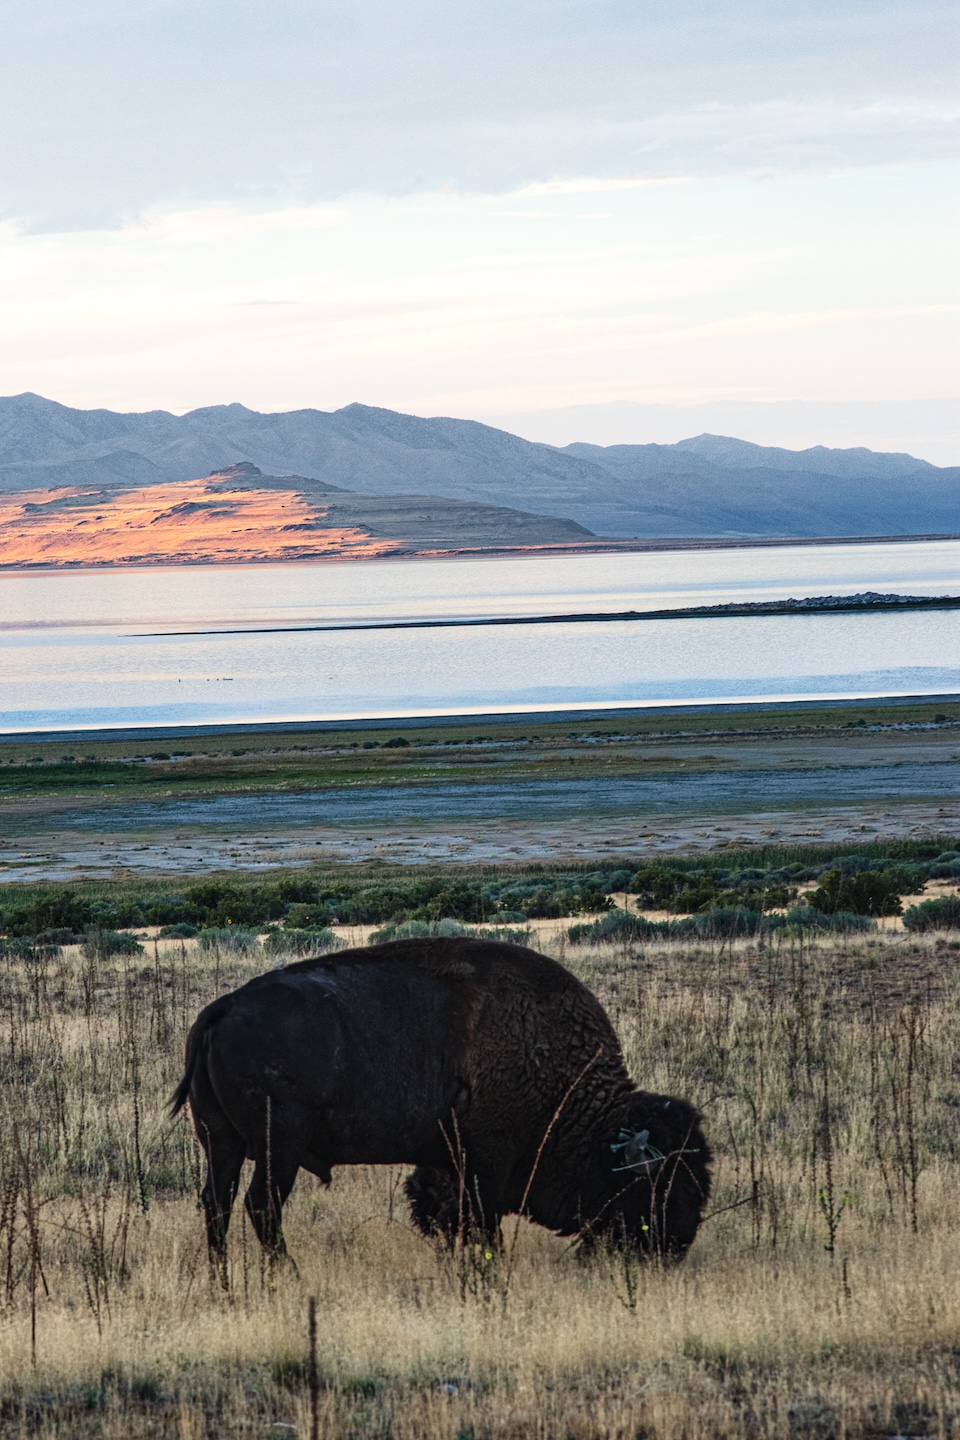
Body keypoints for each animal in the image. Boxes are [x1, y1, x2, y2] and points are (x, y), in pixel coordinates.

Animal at [172, 933, 711, 1261]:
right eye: (661, 1186)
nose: (675, 1244)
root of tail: (223, 1008)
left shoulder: (450, 1163)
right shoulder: (484, 1166)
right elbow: (482, 1225)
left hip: (220, 1141)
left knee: (216, 1204)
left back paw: (224, 1285)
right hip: (277, 1144)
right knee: (262, 1205)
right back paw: (286, 1277)